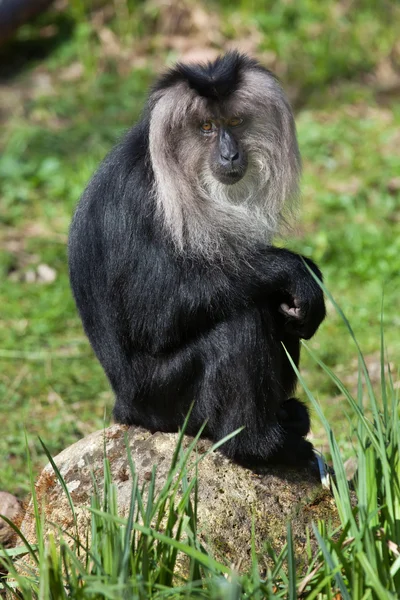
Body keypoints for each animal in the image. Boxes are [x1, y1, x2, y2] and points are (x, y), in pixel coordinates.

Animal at [68, 51, 324, 468]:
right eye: (206, 127)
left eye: (234, 123)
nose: (230, 153)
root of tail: (125, 408)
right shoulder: (141, 196)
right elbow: (153, 315)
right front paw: (298, 270)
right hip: (161, 399)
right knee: (239, 321)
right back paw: (259, 446)